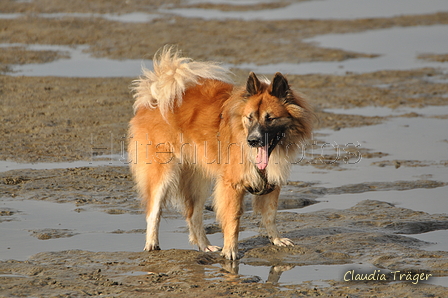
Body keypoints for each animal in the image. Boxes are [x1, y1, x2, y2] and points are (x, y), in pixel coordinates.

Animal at [129, 46, 312, 258]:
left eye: (270, 118)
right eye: (249, 117)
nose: (252, 141)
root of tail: (154, 98)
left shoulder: (272, 181)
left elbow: (270, 214)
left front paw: (276, 239)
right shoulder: (232, 185)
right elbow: (233, 219)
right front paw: (230, 250)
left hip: (198, 180)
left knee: (193, 215)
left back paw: (205, 246)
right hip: (163, 173)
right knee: (154, 211)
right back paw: (152, 243)